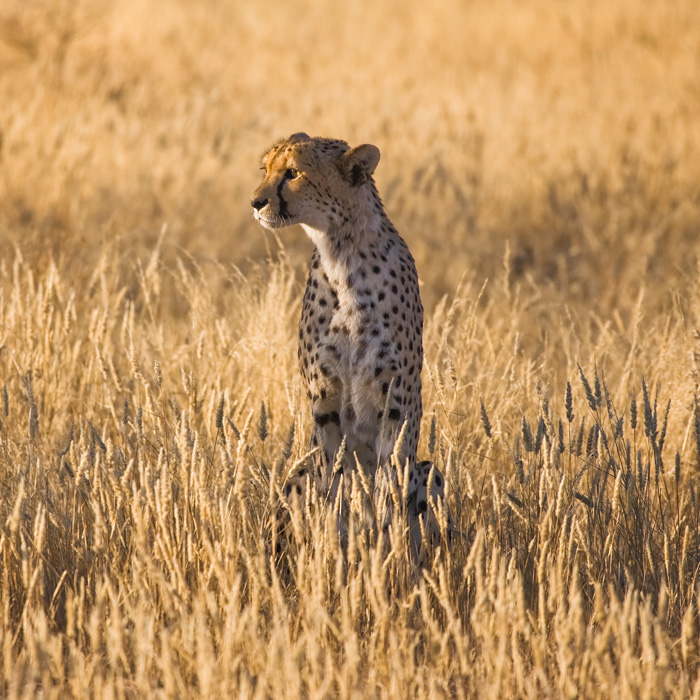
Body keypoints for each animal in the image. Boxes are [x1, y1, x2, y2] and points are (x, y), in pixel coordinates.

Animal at [252, 134, 448, 556]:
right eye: (266, 169)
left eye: (292, 173)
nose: (256, 202)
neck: (343, 255)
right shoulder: (324, 402)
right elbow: (332, 485)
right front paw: (331, 550)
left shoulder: (397, 404)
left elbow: (389, 488)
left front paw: (390, 553)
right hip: (297, 473)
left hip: (430, 469)